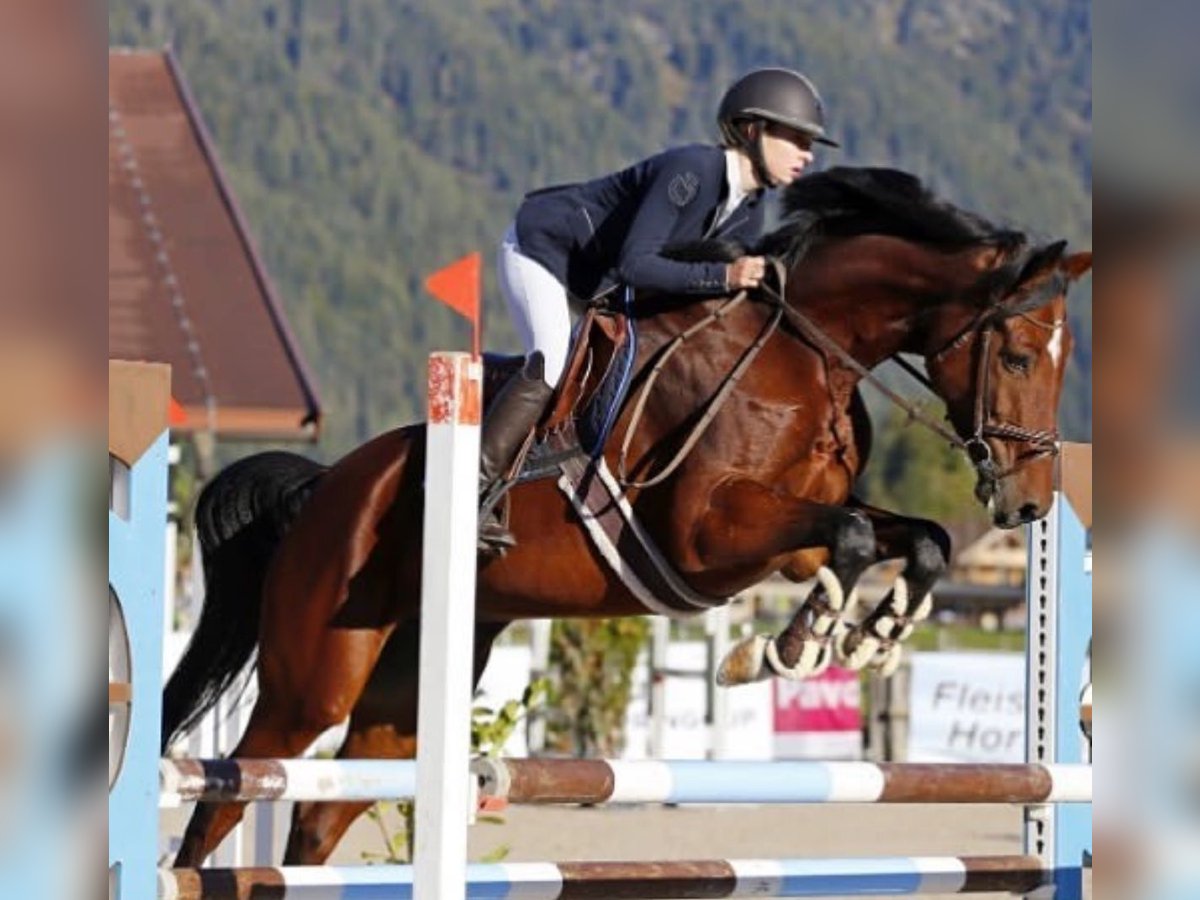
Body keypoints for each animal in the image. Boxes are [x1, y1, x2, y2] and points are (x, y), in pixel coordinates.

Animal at [163, 167, 1091, 866]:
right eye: (1016, 356)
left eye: (1062, 359)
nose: (1030, 500)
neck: (808, 352)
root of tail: (326, 489)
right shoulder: (709, 535)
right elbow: (855, 539)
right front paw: (783, 651)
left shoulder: (791, 540)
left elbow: (913, 539)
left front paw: (870, 633)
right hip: (316, 673)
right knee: (231, 791)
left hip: (406, 687)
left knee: (324, 810)